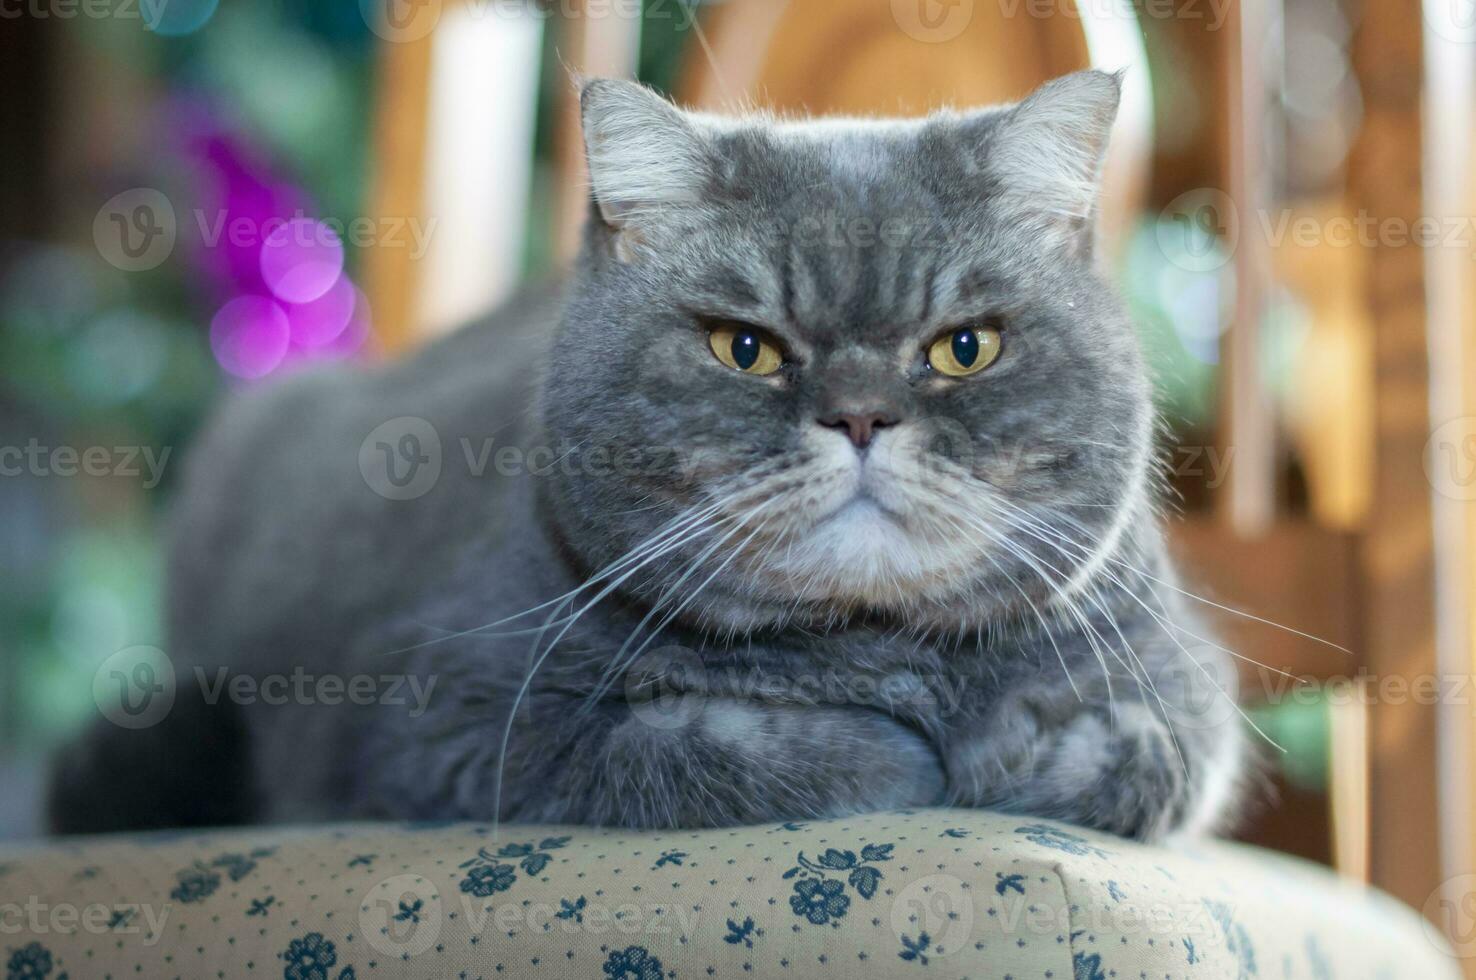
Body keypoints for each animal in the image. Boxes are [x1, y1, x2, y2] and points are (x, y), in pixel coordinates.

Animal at [49, 72, 1245, 844]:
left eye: (966, 347)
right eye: (744, 347)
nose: (861, 416)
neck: (869, 650)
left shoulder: (1185, 697)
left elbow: (1131, 752)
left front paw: (1006, 747)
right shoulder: (448, 730)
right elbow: (715, 748)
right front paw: (913, 754)